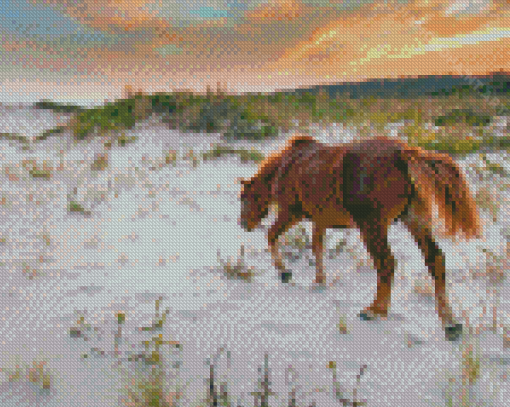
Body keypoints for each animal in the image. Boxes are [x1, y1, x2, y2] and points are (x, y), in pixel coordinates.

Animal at [239, 134, 482, 342]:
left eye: (244, 197)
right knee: (435, 260)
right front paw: (319, 280)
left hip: (372, 226)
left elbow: (272, 235)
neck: (286, 165)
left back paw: (375, 310)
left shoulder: (291, 213)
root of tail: (403, 153)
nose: (243, 224)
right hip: (414, 219)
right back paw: (450, 323)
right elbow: (317, 247)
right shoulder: (320, 219)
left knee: (386, 263)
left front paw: (284, 272)